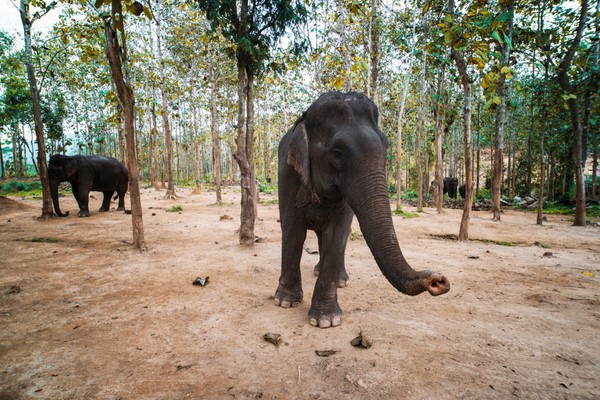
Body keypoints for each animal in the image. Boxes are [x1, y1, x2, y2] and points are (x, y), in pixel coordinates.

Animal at [274, 92, 448, 330]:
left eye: (386, 147)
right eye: (337, 153)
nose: (439, 281)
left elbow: (337, 234)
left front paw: (326, 321)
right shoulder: (287, 174)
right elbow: (293, 229)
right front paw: (285, 302)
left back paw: (340, 280)